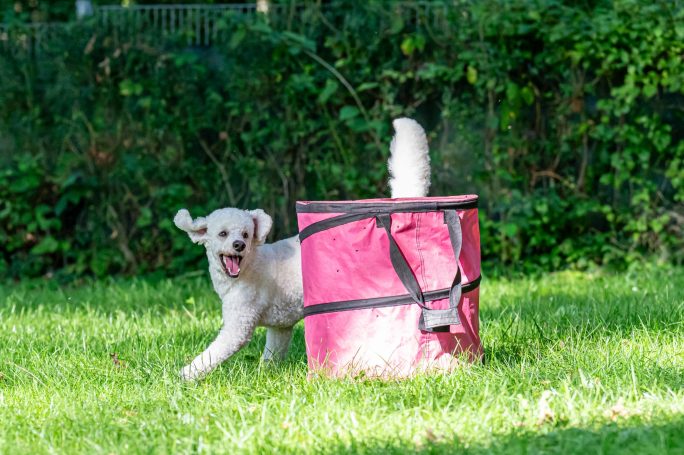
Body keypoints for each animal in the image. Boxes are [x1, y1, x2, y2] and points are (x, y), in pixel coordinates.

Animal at [174, 118, 430, 382]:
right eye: (223, 234)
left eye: (245, 234)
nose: (239, 245)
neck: (248, 267)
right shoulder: (280, 327)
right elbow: (272, 354)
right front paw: (266, 374)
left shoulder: (239, 324)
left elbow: (213, 353)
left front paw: (186, 375)